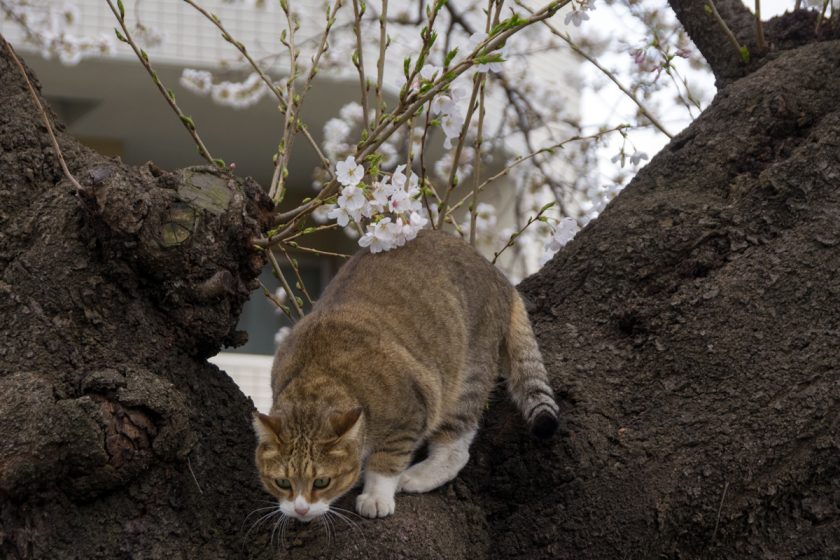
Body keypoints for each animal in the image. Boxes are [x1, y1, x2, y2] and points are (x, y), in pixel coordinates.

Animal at [253, 228, 560, 520]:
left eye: (321, 482)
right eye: (282, 483)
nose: (300, 510)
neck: (318, 375)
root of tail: (500, 277)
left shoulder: (412, 410)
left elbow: (388, 460)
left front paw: (376, 496)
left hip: (467, 375)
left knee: (457, 447)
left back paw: (418, 476)